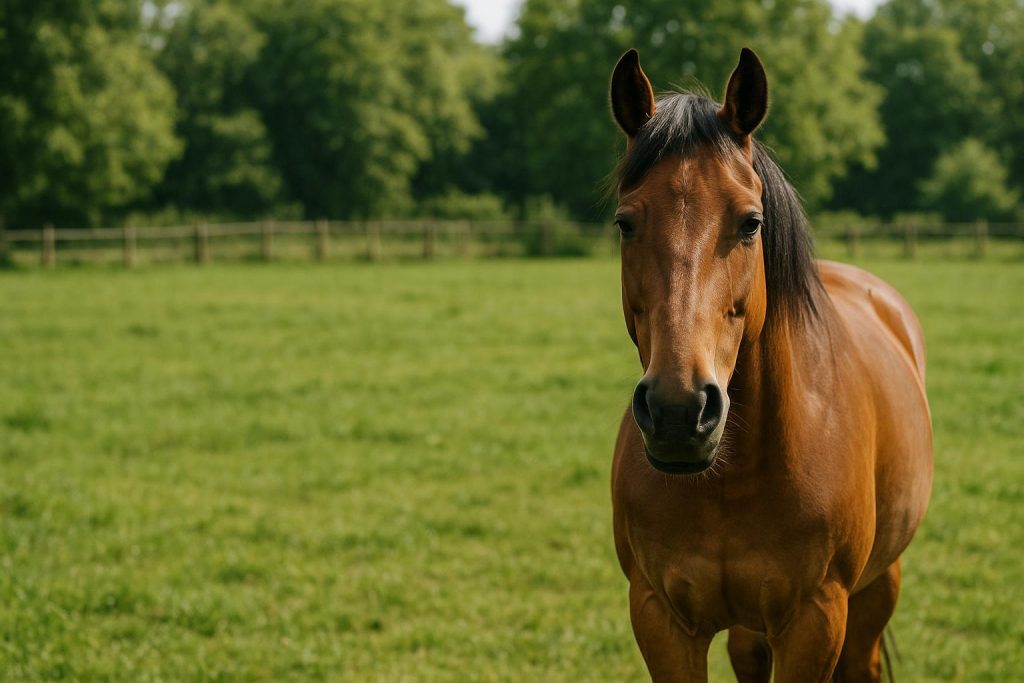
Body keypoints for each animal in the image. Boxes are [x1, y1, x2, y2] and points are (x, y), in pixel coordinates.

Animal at [608, 48, 933, 682]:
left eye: (750, 223)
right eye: (625, 223)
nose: (679, 411)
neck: (732, 476)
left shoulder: (815, 619)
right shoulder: (660, 619)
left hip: (878, 585)